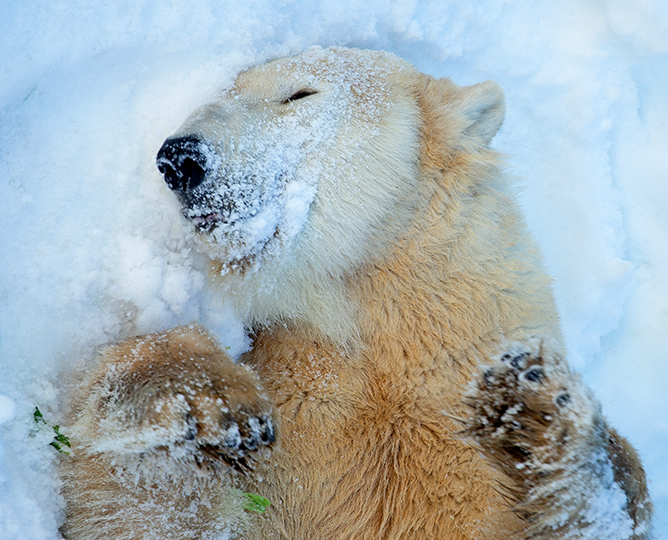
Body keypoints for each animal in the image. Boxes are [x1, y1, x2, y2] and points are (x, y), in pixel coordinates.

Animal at [60, 47, 648, 540]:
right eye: (221, 94)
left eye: (299, 93)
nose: (180, 157)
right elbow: (144, 504)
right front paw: (212, 397)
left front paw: (539, 406)